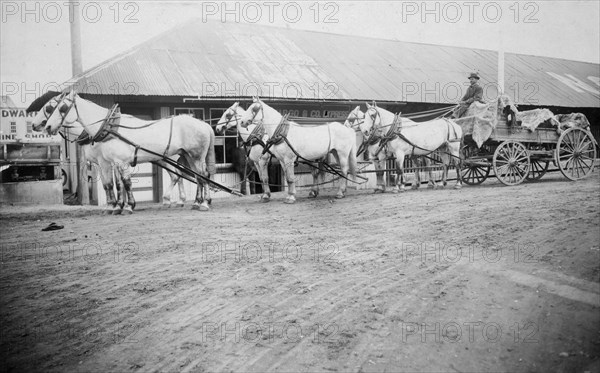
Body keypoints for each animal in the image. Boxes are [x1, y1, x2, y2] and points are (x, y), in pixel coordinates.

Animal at [32, 91, 216, 212]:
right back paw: (194, 202)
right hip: (187, 156)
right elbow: (111, 184)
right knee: (193, 177)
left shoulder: (118, 162)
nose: (43, 126)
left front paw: (127, 206)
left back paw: (202, 203)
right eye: (52, 107)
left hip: (196, 156)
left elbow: (125, 184)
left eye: (59, 107)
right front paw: (114, 207)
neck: (107, 128)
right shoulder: (106, 163)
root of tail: (204, 124)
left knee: (201, 176)